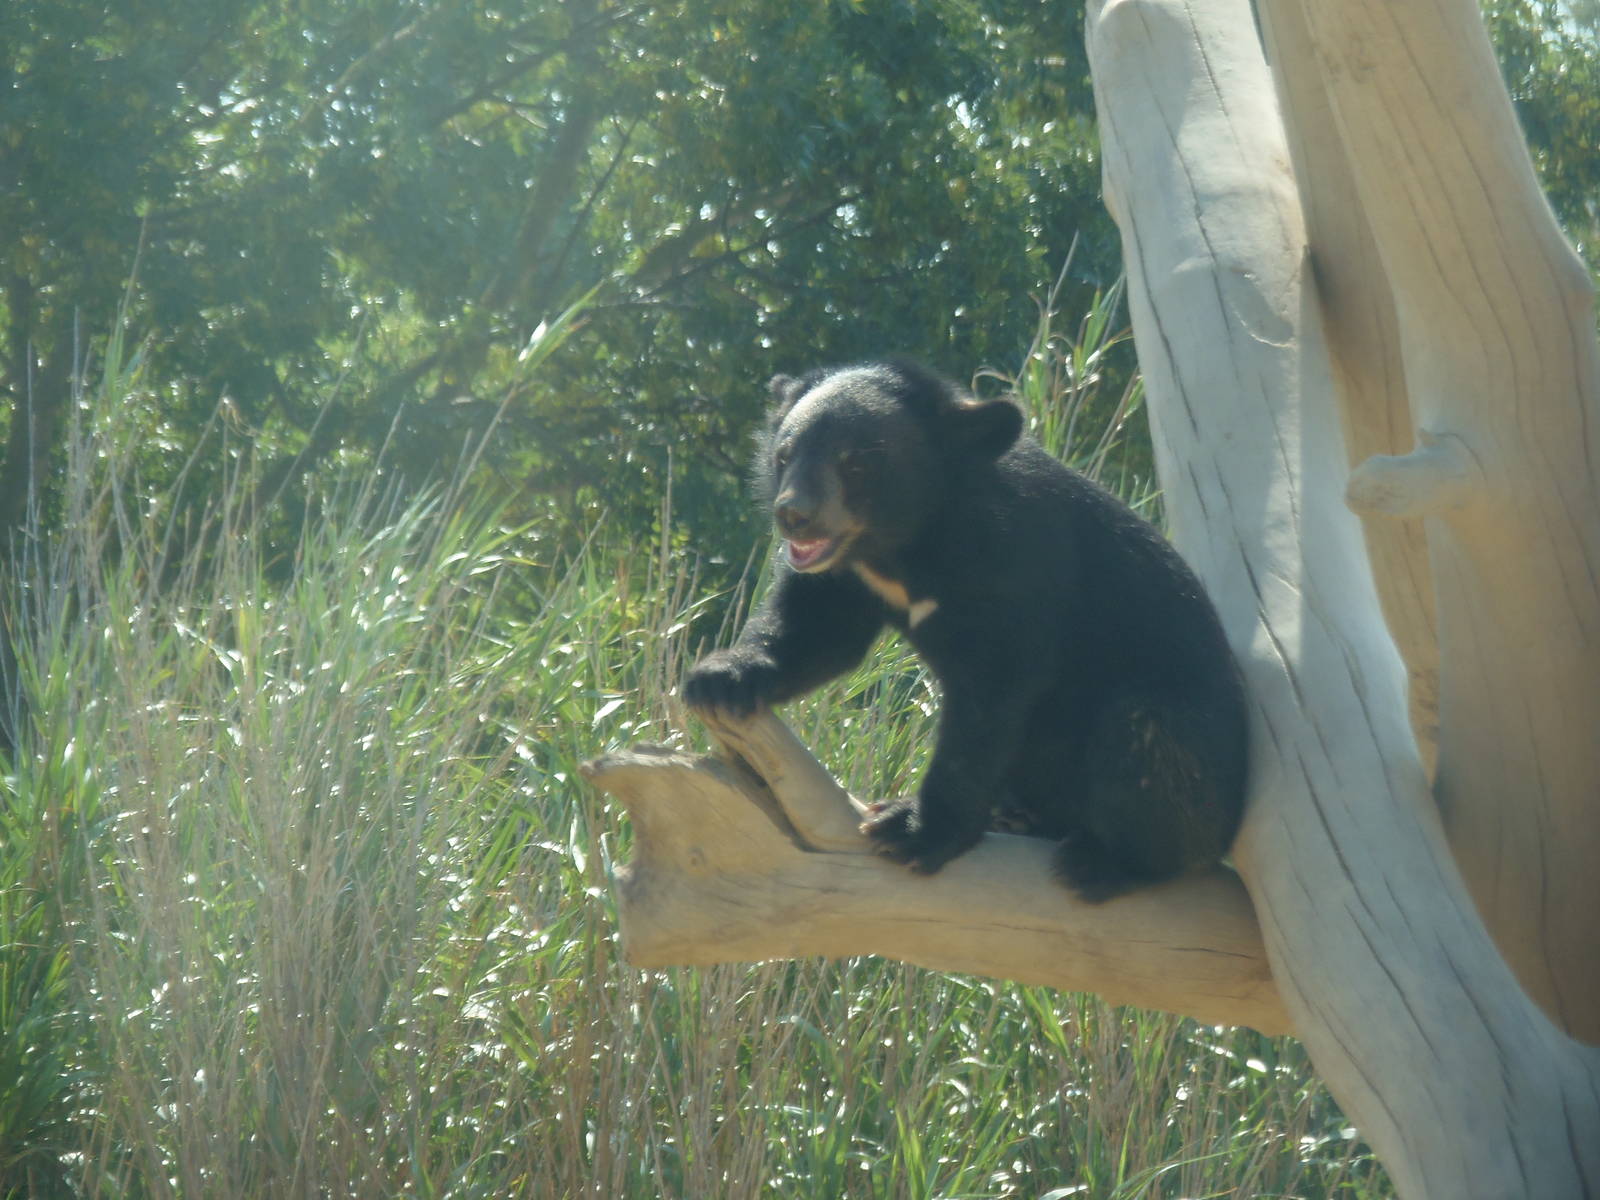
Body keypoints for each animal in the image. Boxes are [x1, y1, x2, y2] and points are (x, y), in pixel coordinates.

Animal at [682, 359, 1248, 902]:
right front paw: (719, 680)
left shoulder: (1012, 565)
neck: (904, 546)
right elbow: (816, 627)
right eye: (786, 454)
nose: (794, 516)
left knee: (1145, 738)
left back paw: (1104, 862)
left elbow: (990, 698)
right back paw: (1020, 816)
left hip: (1191, 756)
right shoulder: (846, 576)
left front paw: (911, 829)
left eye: (856, 463)